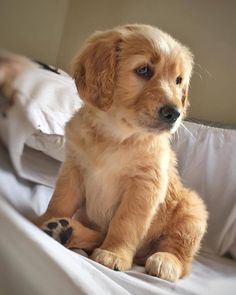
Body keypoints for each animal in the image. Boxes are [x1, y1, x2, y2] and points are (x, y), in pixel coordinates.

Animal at [34, 23, 207, 282]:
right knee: (97, 233)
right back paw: (66, 231)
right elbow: (61, 200)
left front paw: (114, 253)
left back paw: (166, 261)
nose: (175, 113)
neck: (117, 135)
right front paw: (44, 220)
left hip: (192, 212)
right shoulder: (74, 167)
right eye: (144, 70)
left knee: (181, 257)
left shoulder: (144, 186)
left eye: (178, 81)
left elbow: (125, 223)